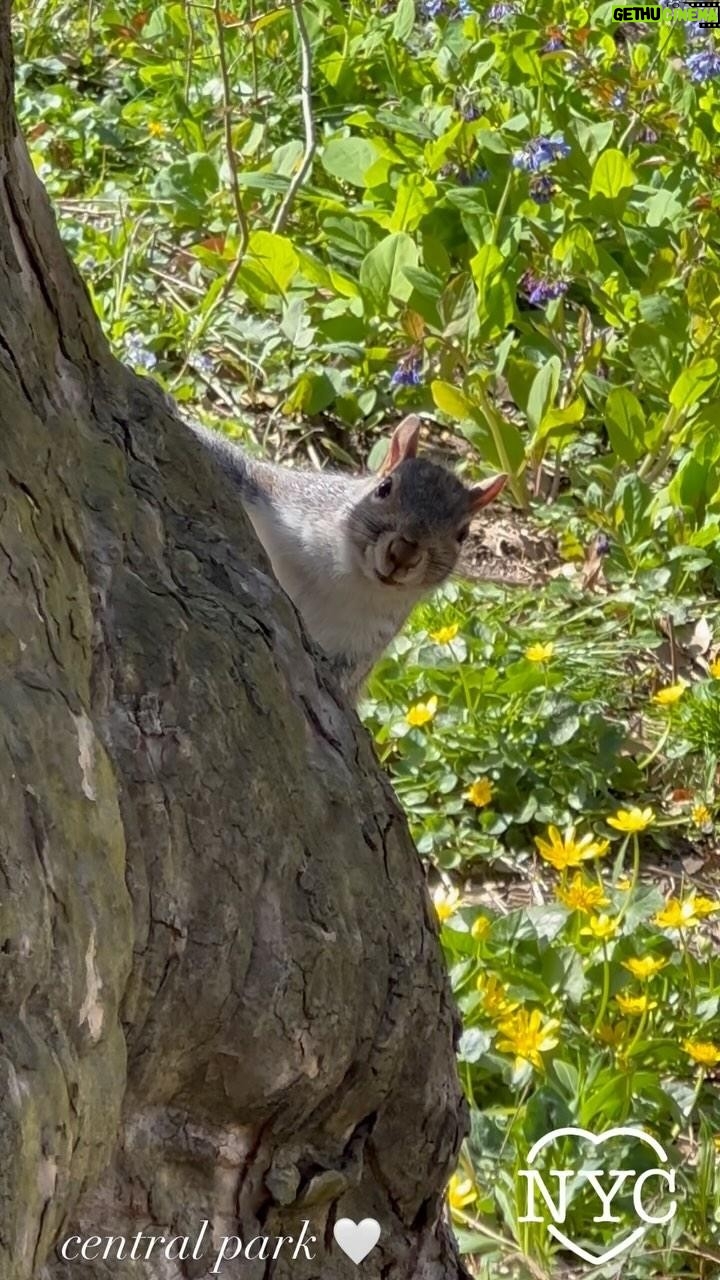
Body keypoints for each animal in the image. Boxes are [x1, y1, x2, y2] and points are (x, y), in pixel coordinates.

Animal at [197, 415, 506, 698]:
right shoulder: (268, 490)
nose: (404, 553)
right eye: (384, 487)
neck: (345, 577)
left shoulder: (358, 647)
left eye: (463, 533)